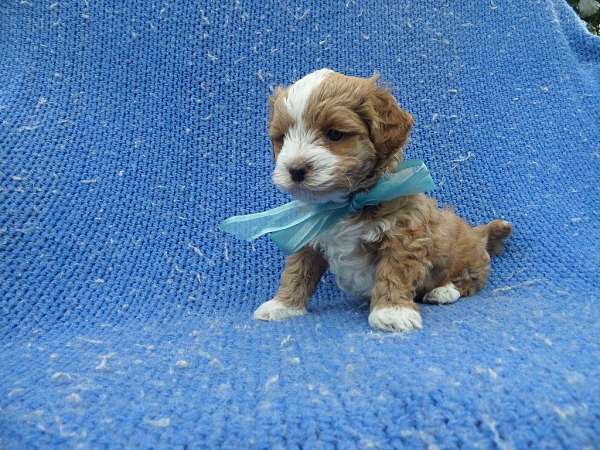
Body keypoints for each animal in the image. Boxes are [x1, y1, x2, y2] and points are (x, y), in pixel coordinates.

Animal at [253, 68, 510, 332]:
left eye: (334, 134)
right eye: (282, 137)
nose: (295, 170)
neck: (344, 206)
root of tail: (477, 233)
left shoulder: (403, 236)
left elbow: (394, 272)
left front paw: (392, 312)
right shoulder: (307, 236)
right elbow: (297, 271)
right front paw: (283, 305)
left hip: (463, 257)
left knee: (469, 280)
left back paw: (443, 291)